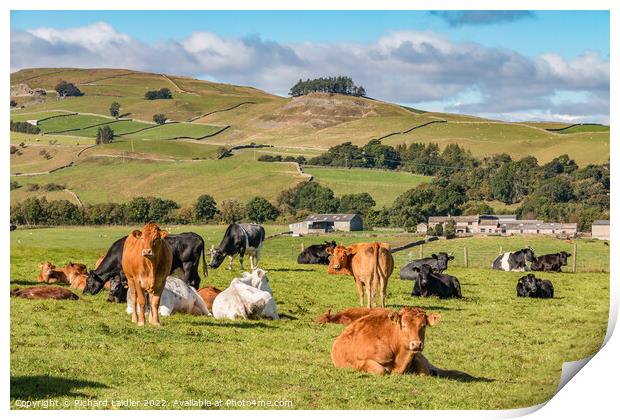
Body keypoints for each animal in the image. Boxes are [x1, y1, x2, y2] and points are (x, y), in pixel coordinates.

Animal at [332, 306, 478, 380]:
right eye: (403, 325)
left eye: (424, 325)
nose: (416, 344)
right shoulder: (360, 361)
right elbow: (381, 370)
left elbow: (424, 372)